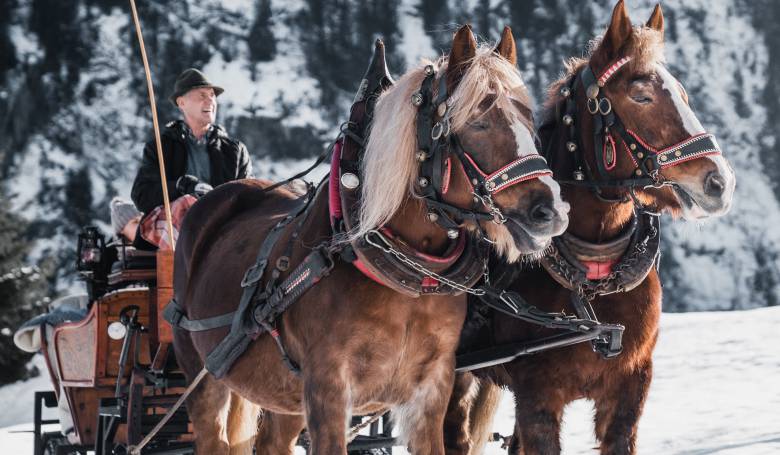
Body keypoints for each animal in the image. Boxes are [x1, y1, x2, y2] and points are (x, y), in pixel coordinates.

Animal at [174, 25, 568, 455]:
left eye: (529, 118)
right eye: (479, 121)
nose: (550, 211)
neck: (408, 280)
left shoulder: (433, 388)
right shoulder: (327, 389)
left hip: (285, 396)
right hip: (203, 376)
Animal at [444, 1, 736, 454]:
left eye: (685, 94)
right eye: (641, 95)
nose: (719, 182)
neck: (594, 276)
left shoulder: (631, 387)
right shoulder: (538, 396)